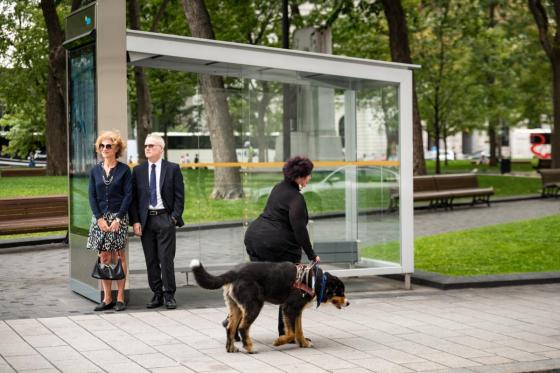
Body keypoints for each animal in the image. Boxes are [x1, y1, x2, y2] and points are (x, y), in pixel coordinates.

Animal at [190, 258, 348, 352]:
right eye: (340, 291)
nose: (348, 303)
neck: (314, 280)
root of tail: (234, 271)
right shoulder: (289, 308)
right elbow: (291, 333)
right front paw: (279, 341)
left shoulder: (297, 311)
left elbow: (299, 331)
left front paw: (304, 343)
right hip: (254, 305)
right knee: (242, 327)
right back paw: (249, 347)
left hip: (236, 308)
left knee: (230, 327)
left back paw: (231, 348)